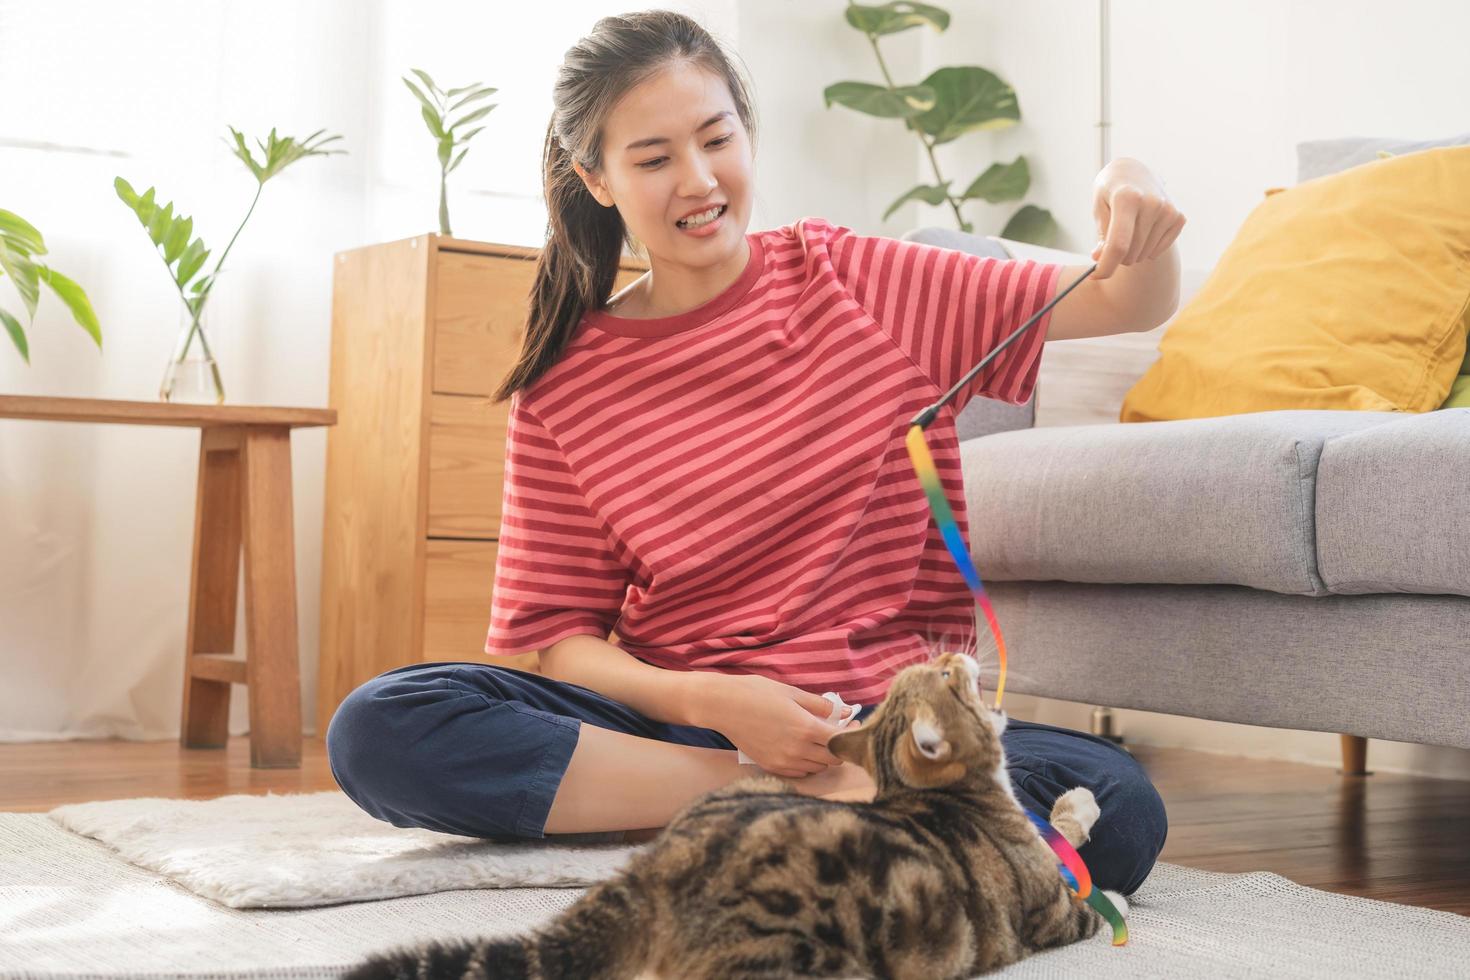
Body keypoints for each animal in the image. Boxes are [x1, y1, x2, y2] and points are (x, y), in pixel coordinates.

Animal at [343, 652, 1123, 980]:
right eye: (948, 678)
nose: (958, 652)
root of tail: (655, 873)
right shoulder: (1053, 911)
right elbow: (1079, 884)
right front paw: (1091, 848)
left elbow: (1064, 823)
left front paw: (1075, 804)